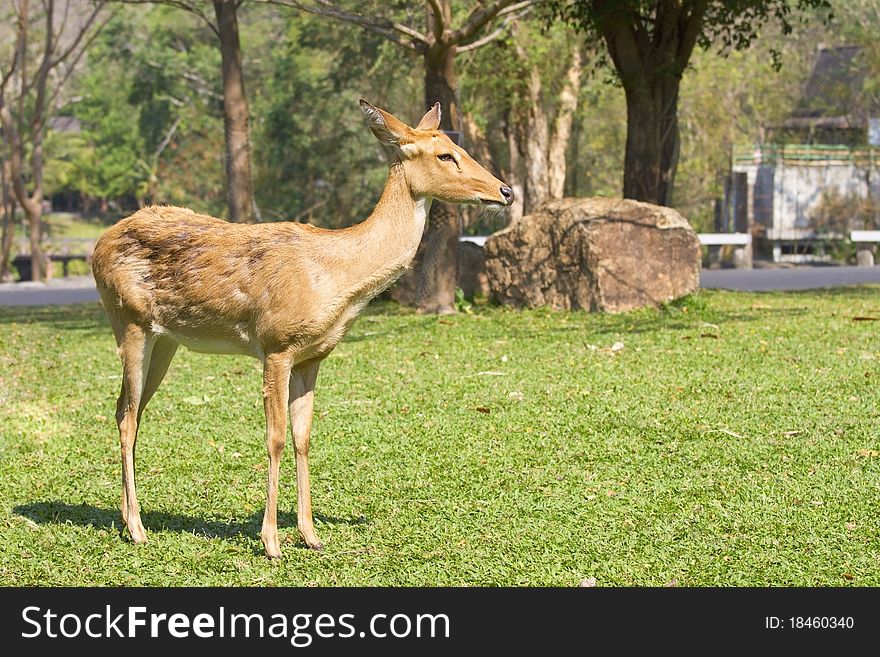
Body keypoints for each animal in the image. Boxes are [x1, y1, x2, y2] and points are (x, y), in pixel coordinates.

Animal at [92, 100, 512, 556]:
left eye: (458, 146)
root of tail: (97, 245)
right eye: (445, 155)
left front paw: (311, 535)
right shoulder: (276, 343)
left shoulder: (313, 357)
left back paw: (125, 517)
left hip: (165, 339)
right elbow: (275, 437)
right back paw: (137, 528)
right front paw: (271, 541)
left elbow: (303, 437)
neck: (337, 276)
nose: (505, 191)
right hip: (127, 319)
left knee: (126, 408)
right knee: (127, 415)